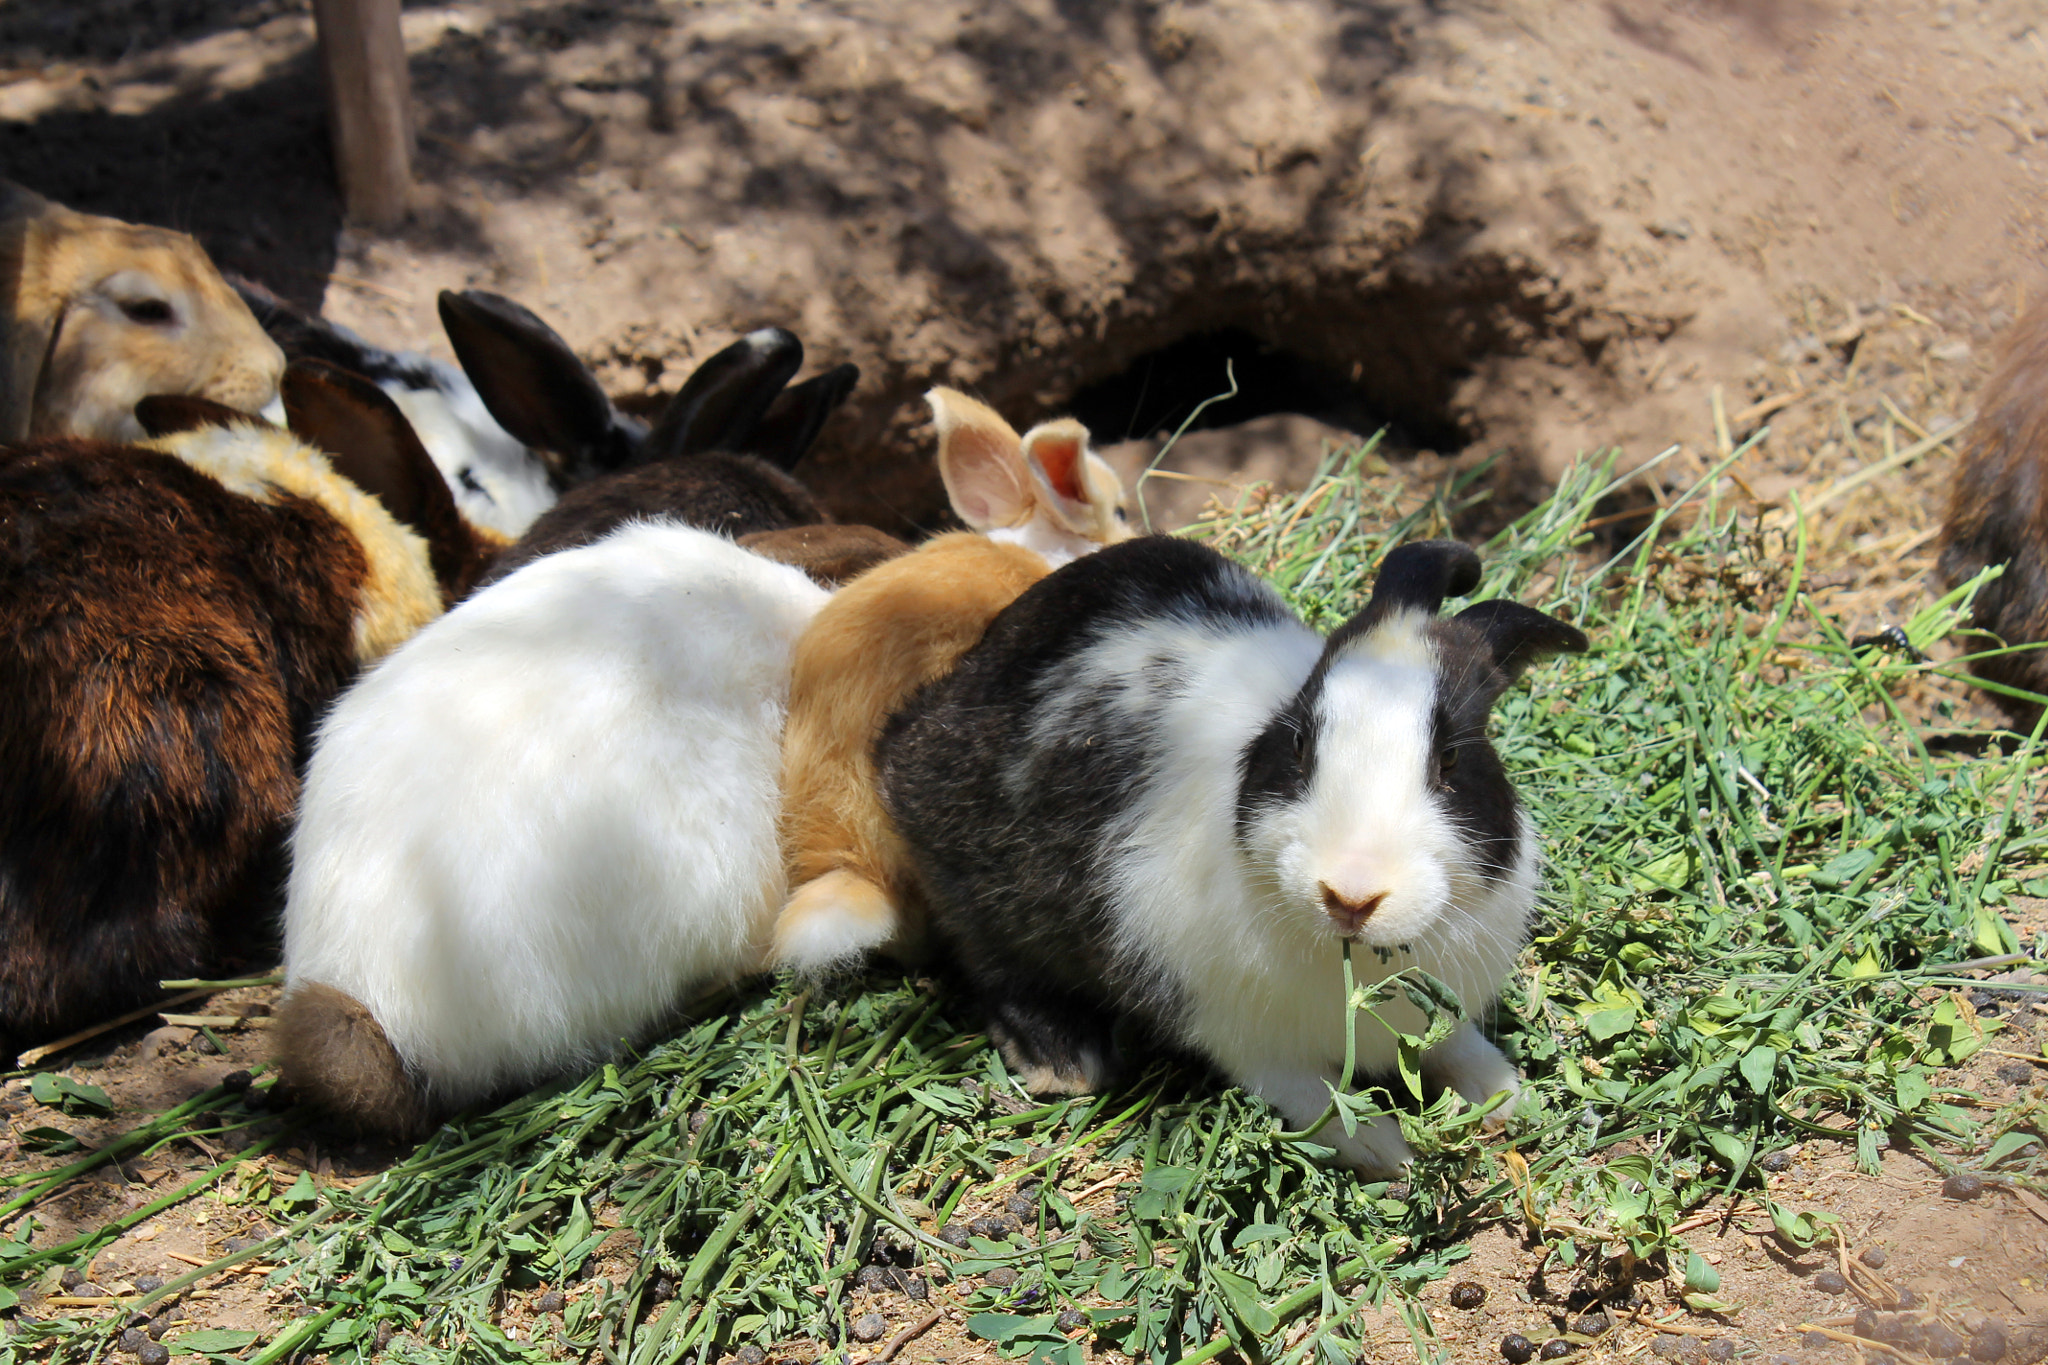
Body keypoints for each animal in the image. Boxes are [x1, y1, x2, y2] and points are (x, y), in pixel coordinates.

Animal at [874, 537, 1588, 1176]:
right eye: (1298, 745)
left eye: (1452, 759)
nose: (1351, 894)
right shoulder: (1241, 1036)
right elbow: (1318, 1101)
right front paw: (1391, 1155)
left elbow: (1462, 1049)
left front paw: (1510, 1100)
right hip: (972, 874)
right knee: (989, 956)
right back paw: (1063, 1059)